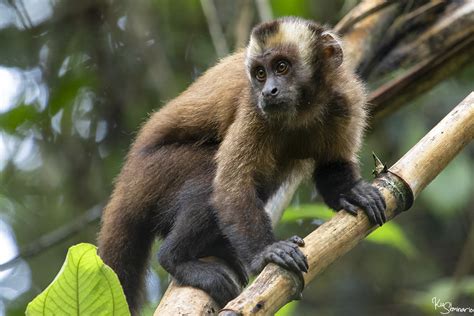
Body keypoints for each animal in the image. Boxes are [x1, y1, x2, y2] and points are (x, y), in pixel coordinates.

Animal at [96, 16, 386, 314]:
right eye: (260, 74)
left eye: (282, 67)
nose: (269, 91)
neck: (304, 108)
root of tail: (125, 182)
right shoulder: (253, 108)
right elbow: (231, 185)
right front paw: (265, 253)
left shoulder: (345, 99)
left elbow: (332, 164)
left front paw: (351, 191)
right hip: (152, 172)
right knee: (207, 179)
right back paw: (176, 259)